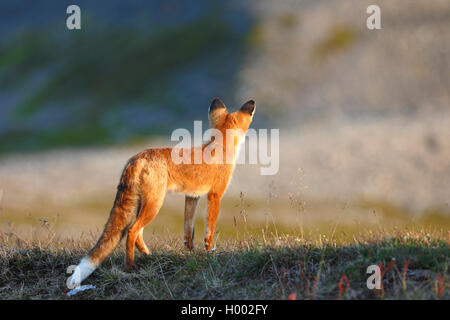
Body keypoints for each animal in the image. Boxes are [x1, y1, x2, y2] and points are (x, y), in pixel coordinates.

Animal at [68, 97, 255, 284]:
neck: (219, 146)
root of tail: (137, 158)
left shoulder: (191, 197)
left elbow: (188, 232)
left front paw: (190, 254)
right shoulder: (215, 195)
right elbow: (209, 230)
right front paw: (209, 253)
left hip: (145, 204)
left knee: (138, 233)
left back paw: (148, 255)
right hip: (155, 204)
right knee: (132, 231)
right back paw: (130, 266)